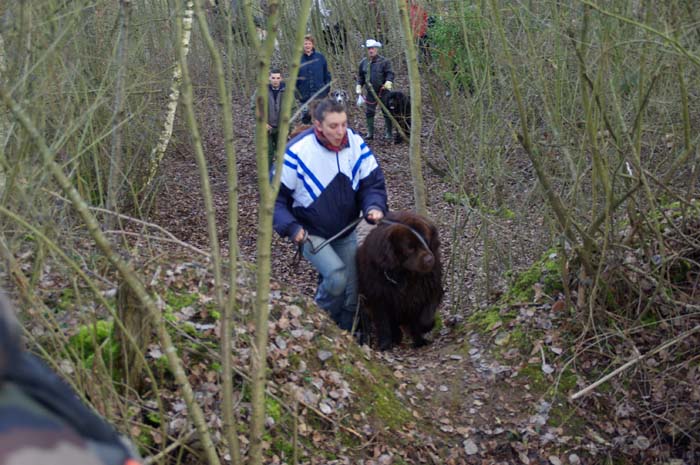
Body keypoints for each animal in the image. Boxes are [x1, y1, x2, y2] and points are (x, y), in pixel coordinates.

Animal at [358, 209, 440, 348]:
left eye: (426, 240)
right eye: (410, 248)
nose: (429, 259)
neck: (406, 275)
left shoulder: (427, 288)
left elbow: (425, 317)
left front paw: (421, 337)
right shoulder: (379, 295)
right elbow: (383, 321)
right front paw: (385, 344)